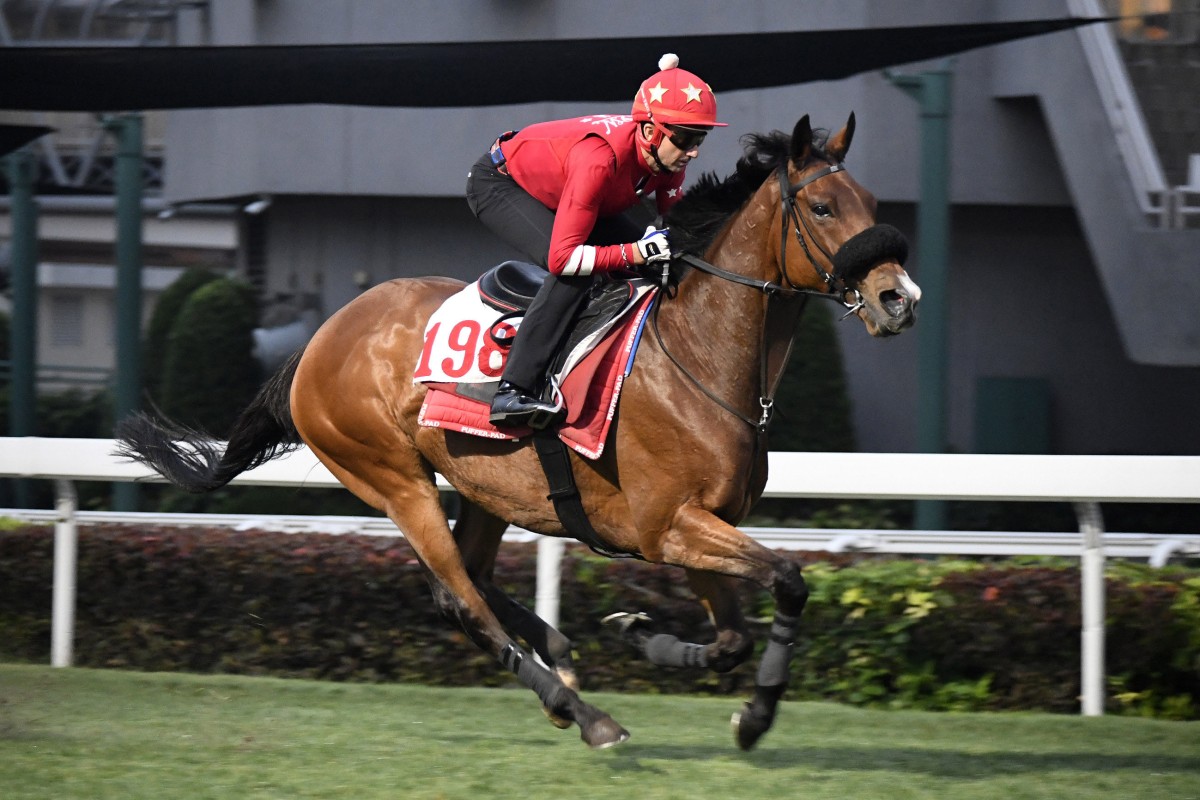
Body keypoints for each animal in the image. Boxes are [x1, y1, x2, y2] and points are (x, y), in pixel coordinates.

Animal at [117, 112, 916, 753]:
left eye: (875, 205)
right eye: (822, 205)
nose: (898, 298)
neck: (697, 354)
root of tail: (319, 338)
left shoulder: (697, 525)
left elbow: (730, 638)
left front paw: (641, 634)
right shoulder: (670, 524)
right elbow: (787, 579)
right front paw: (755, 716)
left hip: (484, 487)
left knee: (471, 575)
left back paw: (560, 659)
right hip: (393, 478)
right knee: (457, 599)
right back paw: (583, 712)